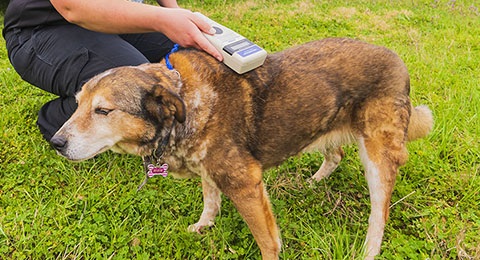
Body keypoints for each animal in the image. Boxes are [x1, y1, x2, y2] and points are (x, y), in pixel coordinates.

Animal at [50, 37, 434, 258]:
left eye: (103, 111)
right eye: (78, 104)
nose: (55, 143)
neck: (185, 102)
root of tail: (397, 59)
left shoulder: (246, 183)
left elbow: (267, 241)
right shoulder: (209, 169)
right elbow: (210, 200)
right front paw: (203, 225)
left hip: (378, 154)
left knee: (380, 211)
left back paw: (370, 247)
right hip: (322, 124)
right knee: (335, 153)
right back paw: (314, 181)